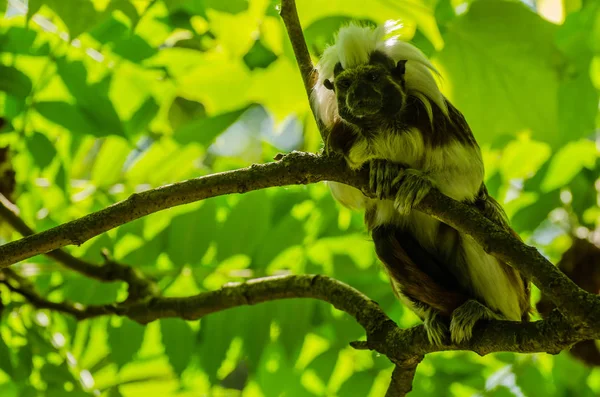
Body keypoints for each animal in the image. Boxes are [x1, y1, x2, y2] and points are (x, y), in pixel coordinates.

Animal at [314, 22, 528, 344]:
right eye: (347, 84)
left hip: (514, 288)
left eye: (372, 77)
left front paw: (419, 181)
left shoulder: (439, 118)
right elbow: (346, 192)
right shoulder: (340, 137)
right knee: (384, 237)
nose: (360, 95)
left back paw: (488, 312)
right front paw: (380, 166)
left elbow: (469, 173)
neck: (382, 126)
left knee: (475, 225)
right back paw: (436, 314)